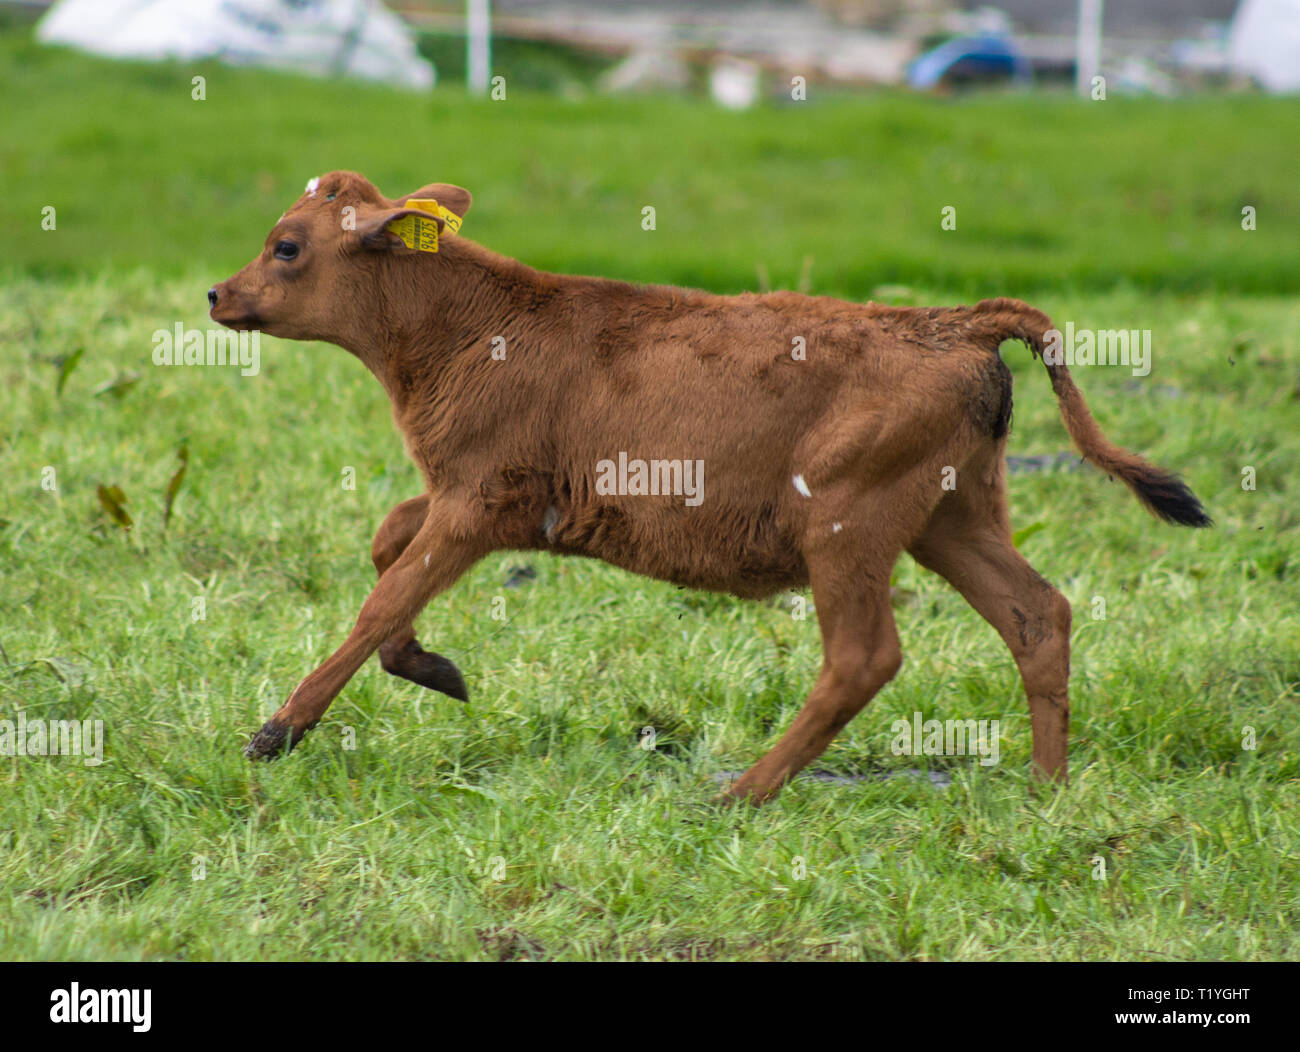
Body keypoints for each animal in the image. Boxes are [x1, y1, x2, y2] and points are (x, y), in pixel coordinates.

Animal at [208, 170, 1211, 806]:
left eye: (286, 246)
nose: (218, 293)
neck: (474, 325)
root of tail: (950, 322)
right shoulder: (480, 501)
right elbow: (388, 544)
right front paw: (434, 669)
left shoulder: (475, 504)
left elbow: (381, 598)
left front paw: (277, 731)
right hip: (953, 519)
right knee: (1036, 615)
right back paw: (1048, 787)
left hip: (847, 526)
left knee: (865, 657)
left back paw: (744, 791)